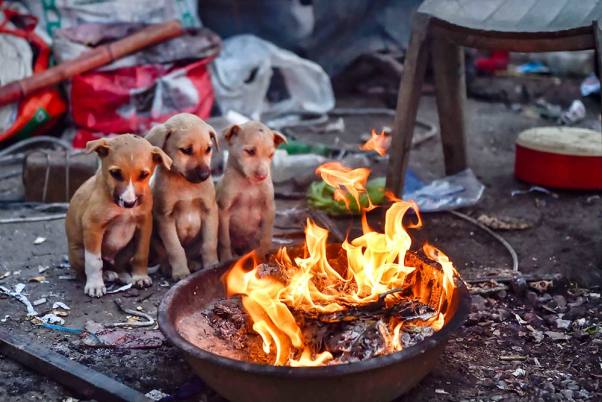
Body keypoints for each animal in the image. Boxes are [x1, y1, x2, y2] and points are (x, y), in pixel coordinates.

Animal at [66, 134, 172, 296]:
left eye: (144, 175)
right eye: (115, 173)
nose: (129, 203)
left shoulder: (144, 224)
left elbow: (141, 254)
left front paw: (140, 277)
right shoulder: (93, 226)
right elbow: (94, 262)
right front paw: (95, 285)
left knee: (119, 265)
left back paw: (123, 276)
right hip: (78, 252)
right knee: (92, 267)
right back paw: (106, 274)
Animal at [146, 112, 219, 280]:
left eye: (208, 149)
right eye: (186, 150)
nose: (205, 175)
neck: (185, 184)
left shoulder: (210, 211)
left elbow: (209, 243)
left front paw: (212, 264)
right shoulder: (165, 218)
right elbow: (175, 249)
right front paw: (180, 272)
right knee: (163, 255)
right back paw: (168, 268)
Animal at [216, 121, 286, 260]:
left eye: (271, 155)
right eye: (250, 151)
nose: (263, 176)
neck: (249, 185)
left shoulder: (269, 209)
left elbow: (266, 237)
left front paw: (263, 255)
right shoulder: (223, 210)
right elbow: (224, 239)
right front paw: (226, 258)